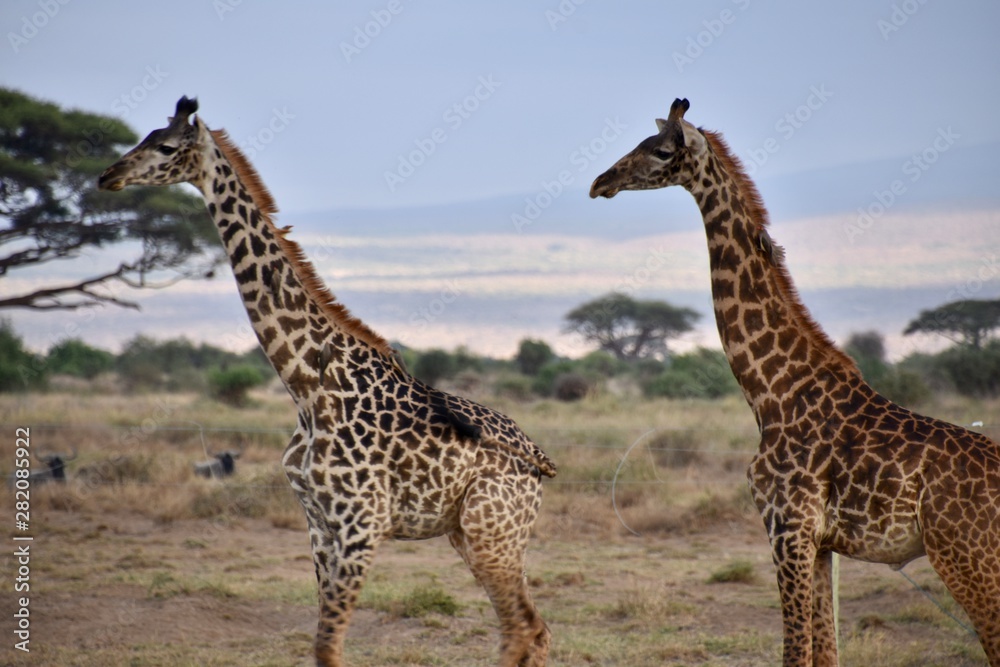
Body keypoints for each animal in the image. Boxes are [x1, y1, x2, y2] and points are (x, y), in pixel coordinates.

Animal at [98, 97, 554, 667]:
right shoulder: (320, 526)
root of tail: (540, 460)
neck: (307, 386)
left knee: (520, 627)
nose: (107, 176)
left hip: (491, 529)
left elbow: (328, 643)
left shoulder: (363, 524)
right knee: (535, 626)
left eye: (164, 147)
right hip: (478, 535)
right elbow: (323, 643)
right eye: (144, 137)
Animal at [590, 98, 1000, 666]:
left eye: (662, 151)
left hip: (964, 555)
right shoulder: (822, 543)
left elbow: (796, 651)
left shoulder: (787, 528)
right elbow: (824, 651)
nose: (600, 182)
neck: (772, 391)